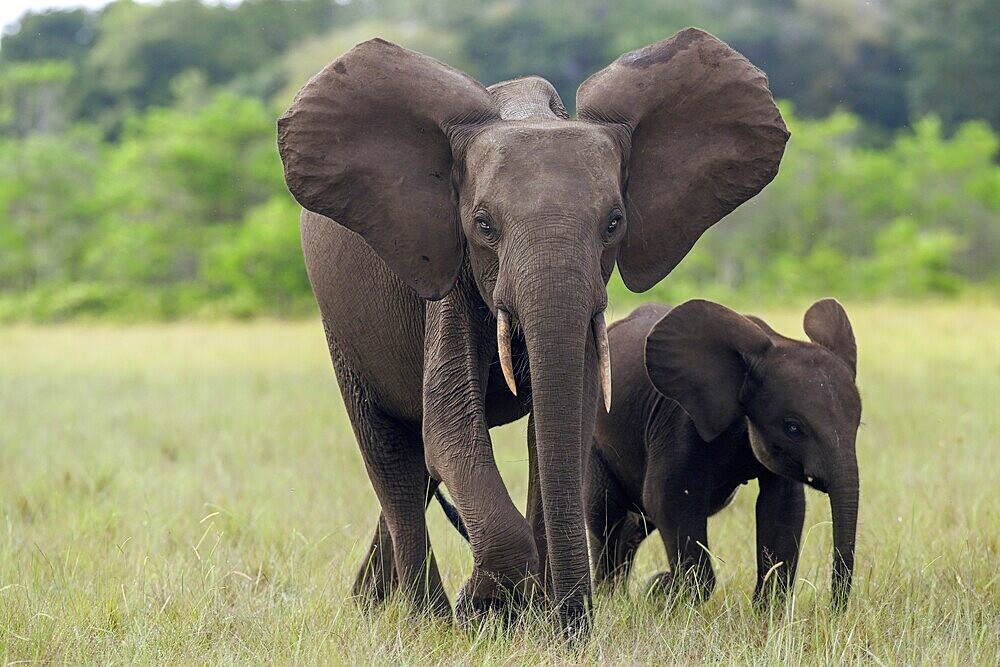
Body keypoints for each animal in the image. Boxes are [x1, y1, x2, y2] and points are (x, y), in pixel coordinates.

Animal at [276, 27, 788, 636]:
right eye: (482, 225)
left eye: (614, 222)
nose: (574, 624)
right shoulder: (449, 274)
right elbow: (449, 429)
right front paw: (485, 609)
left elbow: (562, 420)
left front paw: (540, 623)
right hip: (340, 321)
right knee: (392, 454)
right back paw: (425, 620)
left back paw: (372, 603)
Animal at [584, 300, 860, 608]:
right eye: (793, 427)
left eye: (858, 424)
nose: (834, 607)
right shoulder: (680, 420)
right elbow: (668, 499)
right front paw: (664, 590)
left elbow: (783, 506)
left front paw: (765, 613)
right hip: (596, 441)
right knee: (605, 514)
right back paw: (611, 598)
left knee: (637, 522)